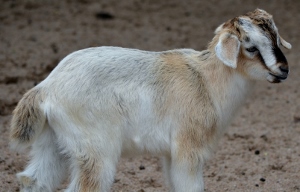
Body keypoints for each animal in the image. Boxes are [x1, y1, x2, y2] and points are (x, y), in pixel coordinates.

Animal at [11, 9, 290, 192]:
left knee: (32, 180)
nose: (283, 69)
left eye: (275, 38)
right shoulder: (187, 149)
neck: (205, 79)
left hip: (53, 143)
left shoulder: (170, 154)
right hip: (94, 151)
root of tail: (47, 87)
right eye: (251, 47)